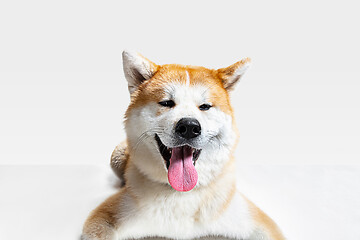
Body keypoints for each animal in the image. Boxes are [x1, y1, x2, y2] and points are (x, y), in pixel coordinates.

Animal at [81, 51, 284, 240]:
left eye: (205, 106)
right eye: (166, 103)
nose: (189, 127)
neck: (182, 192)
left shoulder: (256, 221)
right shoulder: (105, 218)